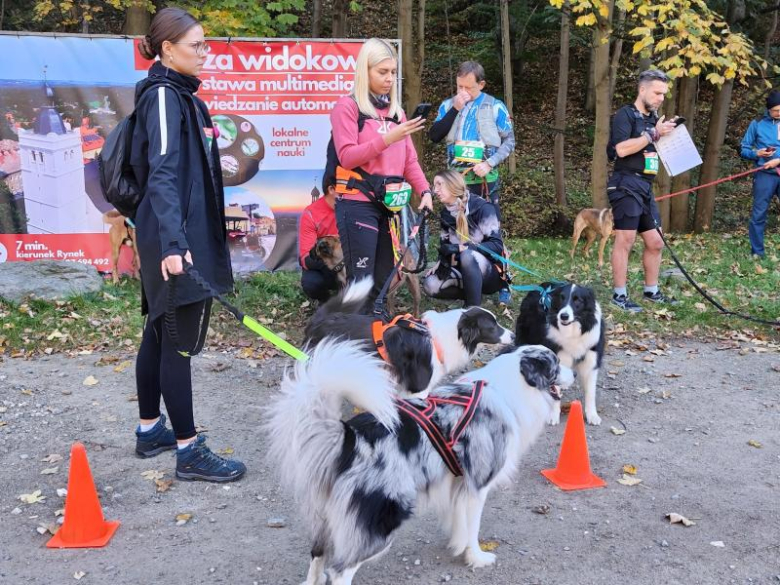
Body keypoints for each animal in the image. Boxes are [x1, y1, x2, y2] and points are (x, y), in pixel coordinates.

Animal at [268, 336, 572, 580]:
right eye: (556, 364)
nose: (572, 371)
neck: (507, 389)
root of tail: (350, 437)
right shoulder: (478, 485)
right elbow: (473, 528)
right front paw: (476, 557)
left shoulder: (456, 481)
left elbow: (458, 521)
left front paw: (457, 545)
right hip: (382, 520)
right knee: (340, 571)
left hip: (326, 520)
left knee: (317, 555)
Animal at [516, 282, 608, 424]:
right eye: (561, 298)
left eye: (578, 300)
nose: (563, 316)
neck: (573, 332)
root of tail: (540, 287)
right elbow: (554, 392)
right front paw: (553, 415)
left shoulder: (591, 359)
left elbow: (590, 392)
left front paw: (592, 415)